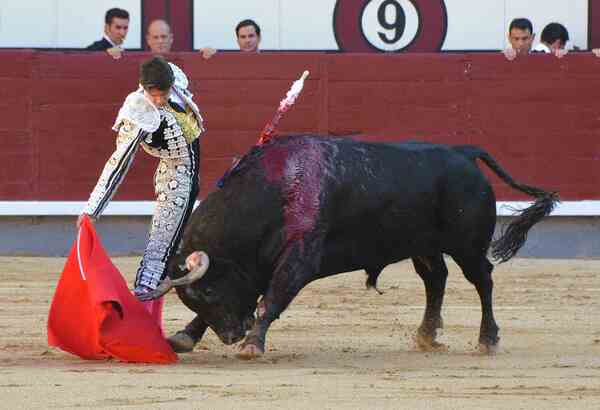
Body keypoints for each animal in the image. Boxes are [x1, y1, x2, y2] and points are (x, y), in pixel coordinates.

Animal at [140, 135, 558, 359]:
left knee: (482, 280)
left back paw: (487, 339)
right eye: (194, 299)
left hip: (467, 245)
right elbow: (253, 297)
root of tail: (462, 152)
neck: (277, 190)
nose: (231, 336)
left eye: (209, 291)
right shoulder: (257, 265)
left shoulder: (299, 259)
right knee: (435, 280)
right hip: (422, 245)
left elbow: (270, 299)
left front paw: (253, 345)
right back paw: (426, 334)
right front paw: (185, 336)